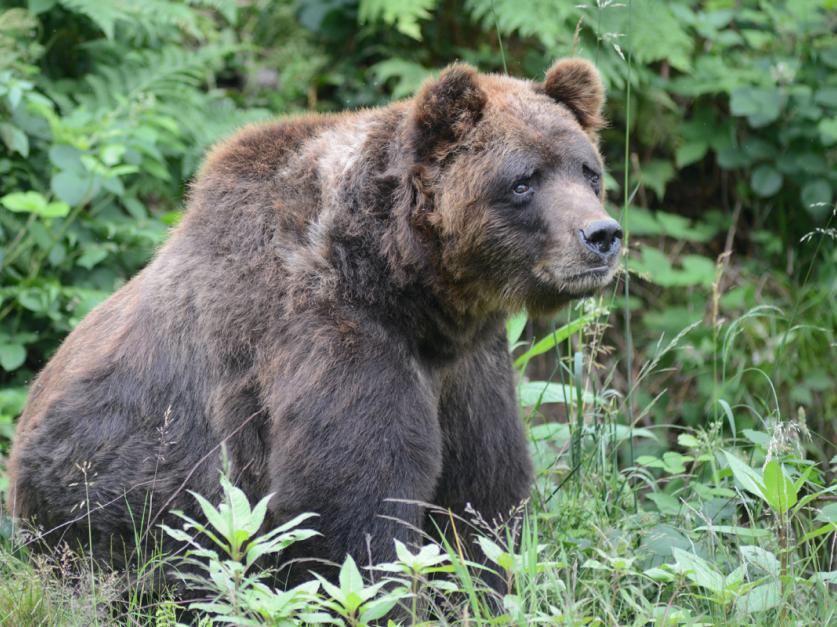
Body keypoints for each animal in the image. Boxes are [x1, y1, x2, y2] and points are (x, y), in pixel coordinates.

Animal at [6, 56, 620, 592]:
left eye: (588, 172)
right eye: (523, 180)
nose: (602, 235)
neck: (405, 287)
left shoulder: (470, 367)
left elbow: (481, 501)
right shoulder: (331, 341)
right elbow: (353, 511)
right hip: (101, 511)